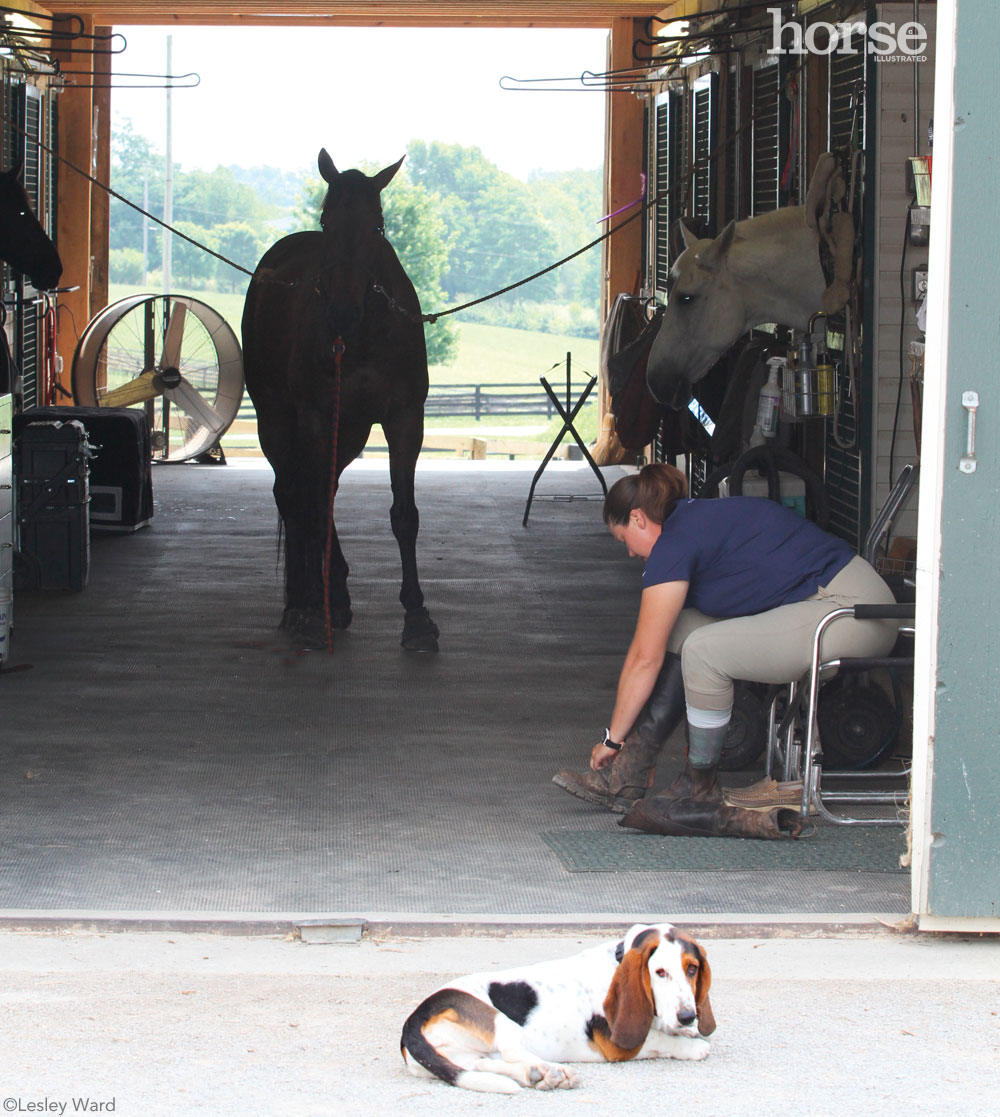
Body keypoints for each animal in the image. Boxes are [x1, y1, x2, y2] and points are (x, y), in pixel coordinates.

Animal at [241, 149, 437, 652]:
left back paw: (336, 594)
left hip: (349, 432)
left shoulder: (405, 419)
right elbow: (310, 506)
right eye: (327, 221)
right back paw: (302, 601)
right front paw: (312, 611)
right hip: (276, 419)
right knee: (295, 495)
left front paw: (417, 616)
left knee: (322, 493)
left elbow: (405, 515)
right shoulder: (314, 417)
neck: (363, 336)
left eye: (379, 226)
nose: (343, 311)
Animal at [397, 924, 710, 1090]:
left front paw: (686, 1031)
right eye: (660, 972)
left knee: (487, 1064)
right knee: (513, 1051)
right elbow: (658, 1040)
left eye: (692, 969)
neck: (617, 960)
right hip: (500, 1022)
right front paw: (692, 1045)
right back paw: (552, 1071)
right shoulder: (617, 1045)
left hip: (459, 1059)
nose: (687, 1016)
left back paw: (538, 1075)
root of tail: (413, 1021)